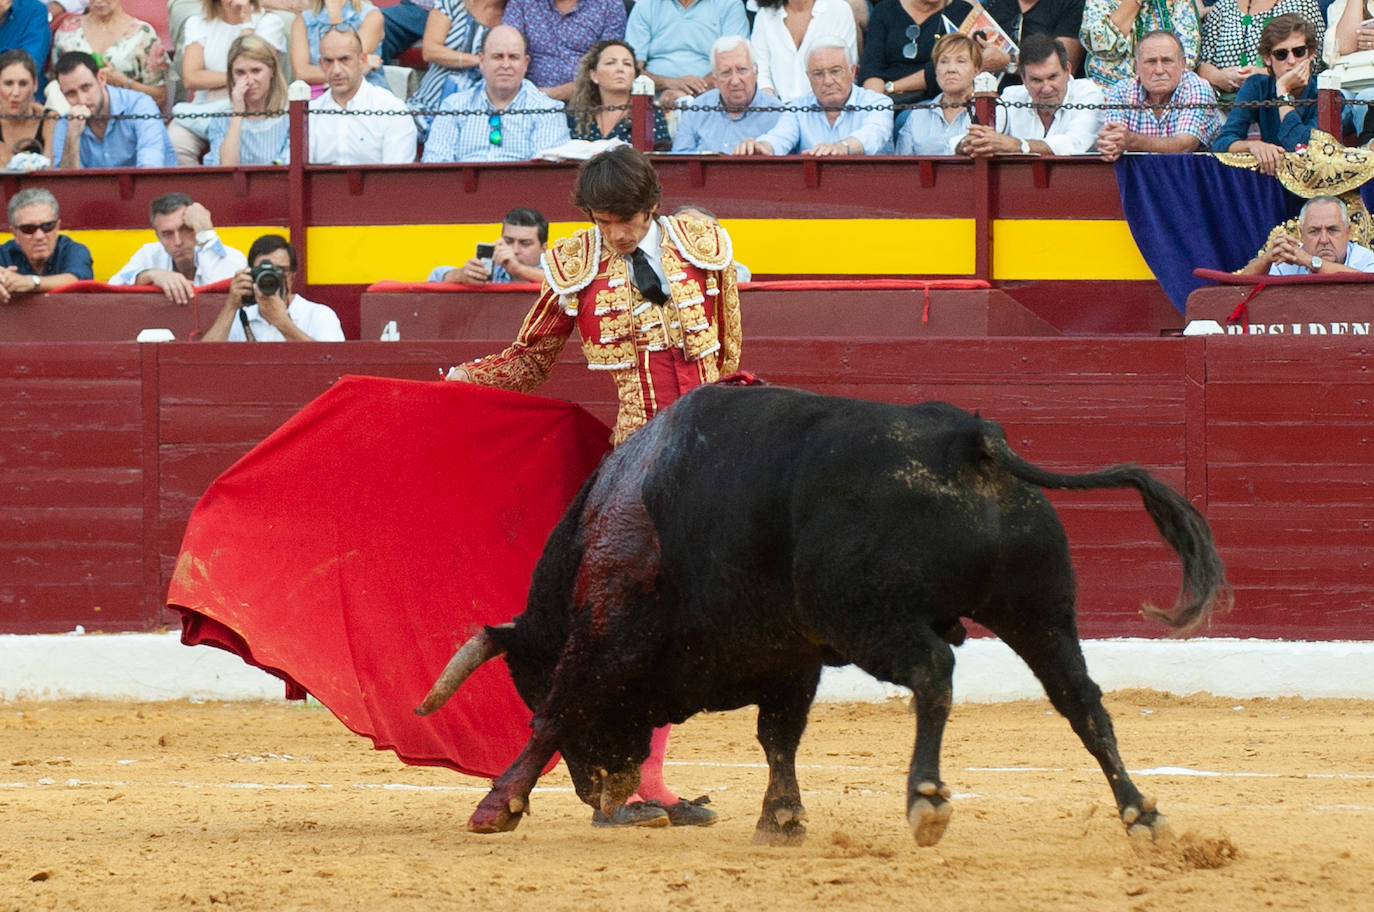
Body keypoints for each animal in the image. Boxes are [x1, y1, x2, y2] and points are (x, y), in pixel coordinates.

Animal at [412, 381, 1231, 846]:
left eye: (523, 683)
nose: (601, 793)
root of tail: (971, 440)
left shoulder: (603, 636)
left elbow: (558, 712)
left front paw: (496, 806)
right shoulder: (789, 656)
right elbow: (780, 738)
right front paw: (781, 821)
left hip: (869, 618)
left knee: (935, 670)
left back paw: (925, 800)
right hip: (1039, 611)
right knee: (1082, 701)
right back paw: (1143, 814)